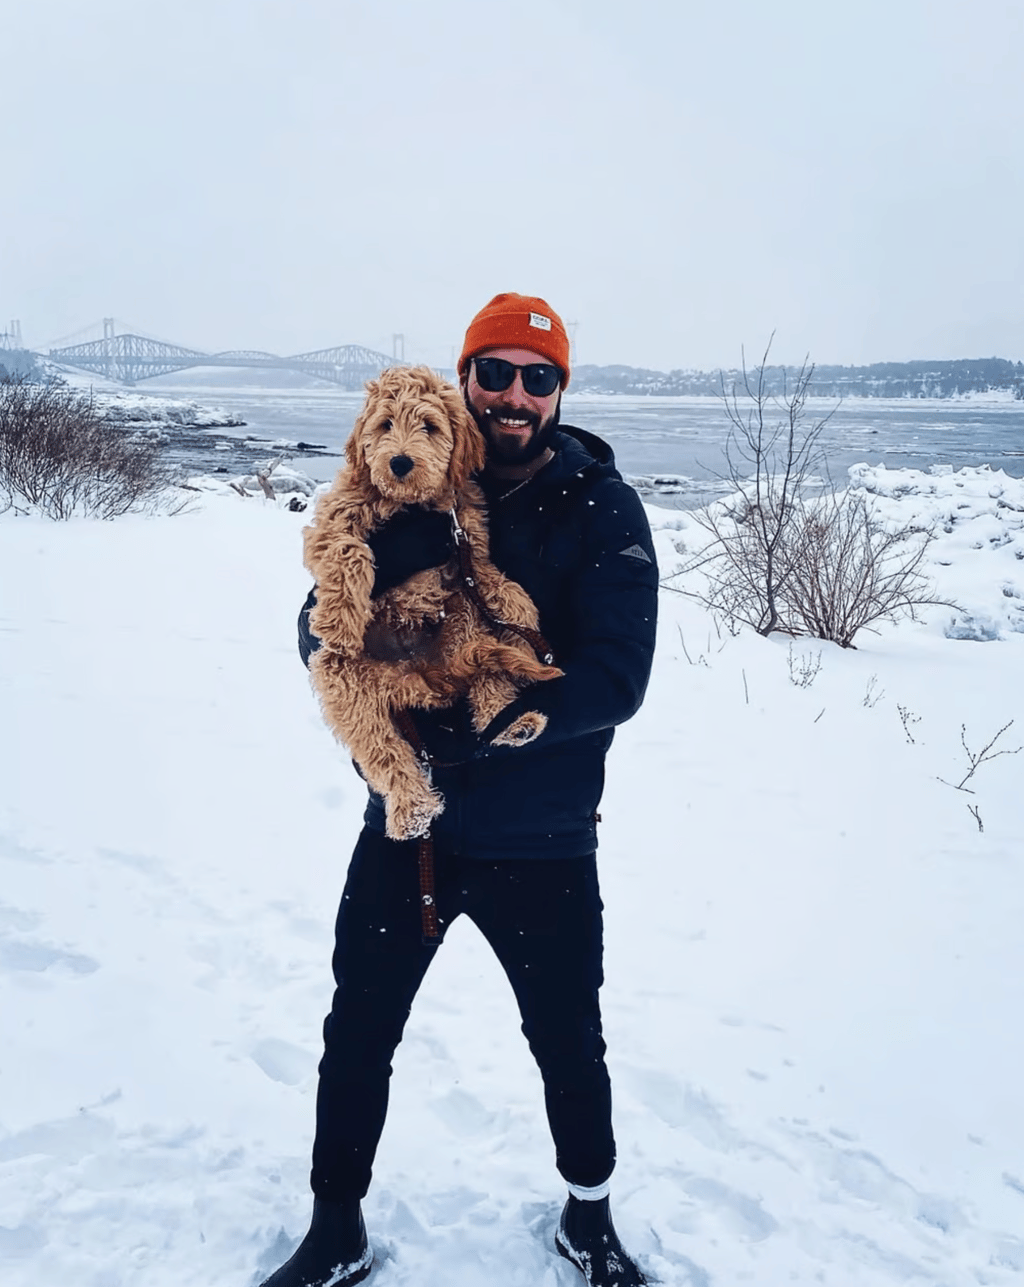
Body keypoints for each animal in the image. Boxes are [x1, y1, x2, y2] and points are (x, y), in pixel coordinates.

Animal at [302, 368, 560, 839]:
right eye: (385, 424)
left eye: (430, 426)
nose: (400, 463)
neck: (412, 506)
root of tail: (425, 677)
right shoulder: (334, 518)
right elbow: (348, 550)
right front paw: (336, 621)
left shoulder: (467, 541)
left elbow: (498, 581)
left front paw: (521, 615)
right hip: (341, 680)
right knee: (383, 748)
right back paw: (413, 807)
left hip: (465, 624)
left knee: (489, 679)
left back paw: (515, 722)